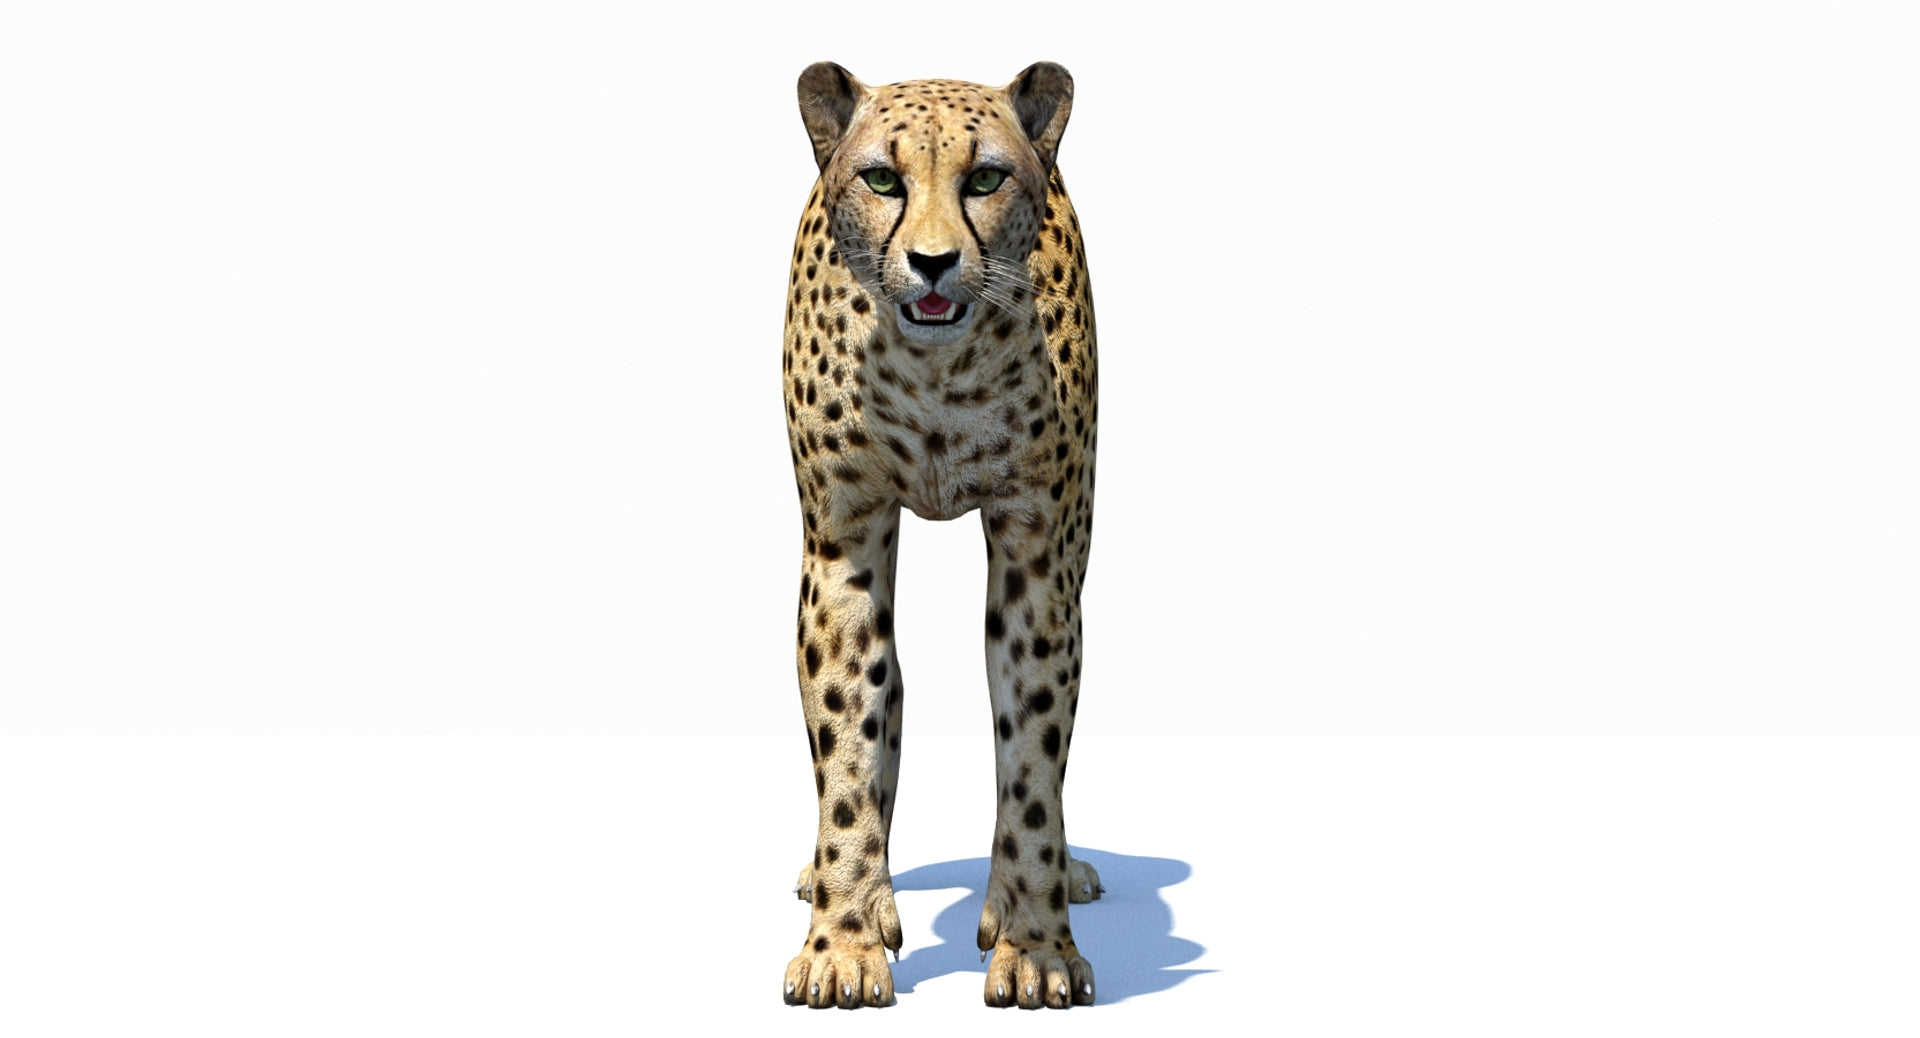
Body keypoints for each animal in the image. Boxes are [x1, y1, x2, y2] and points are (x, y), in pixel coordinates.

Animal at [779, 61, 1101, 1010]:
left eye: (985, 178)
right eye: (884, 179)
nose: (931, 262)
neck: (937, 372)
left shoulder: (1038, 552)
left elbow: (1032, 750)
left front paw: (1034, 948)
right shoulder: (843, 541)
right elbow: (849, 731)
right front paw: (845, 943)